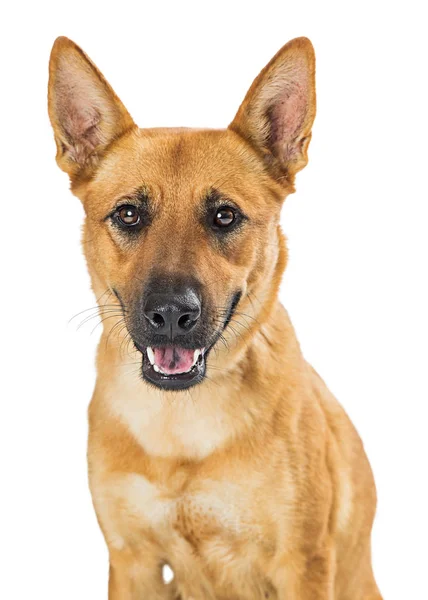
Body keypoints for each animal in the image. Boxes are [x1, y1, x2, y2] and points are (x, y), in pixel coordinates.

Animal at [48, 37, 382, 600]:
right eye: (128, 214)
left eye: (224, 216)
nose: (170, 314)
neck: (183, 424)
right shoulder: (132, 562)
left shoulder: (302, 563)